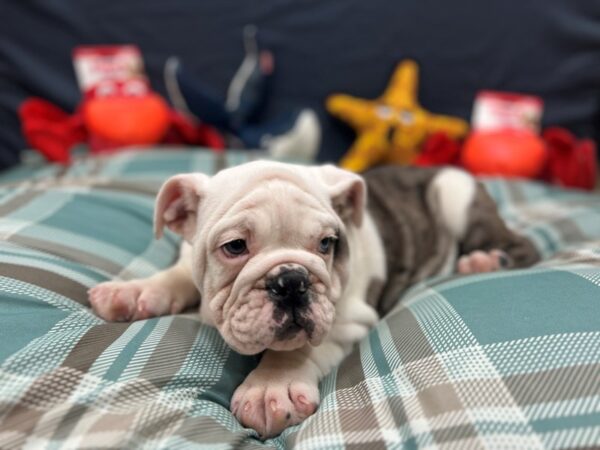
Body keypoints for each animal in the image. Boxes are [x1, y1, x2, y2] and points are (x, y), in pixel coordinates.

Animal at [88, 161, 540, 436]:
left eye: (327, 244)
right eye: (234, 246)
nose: (291, 280)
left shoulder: (346, 315)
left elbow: (296, 348)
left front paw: (272, 387)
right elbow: (179, 273)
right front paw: (135, 291)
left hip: (455, 195)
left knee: (522, 246)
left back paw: (482, 261)